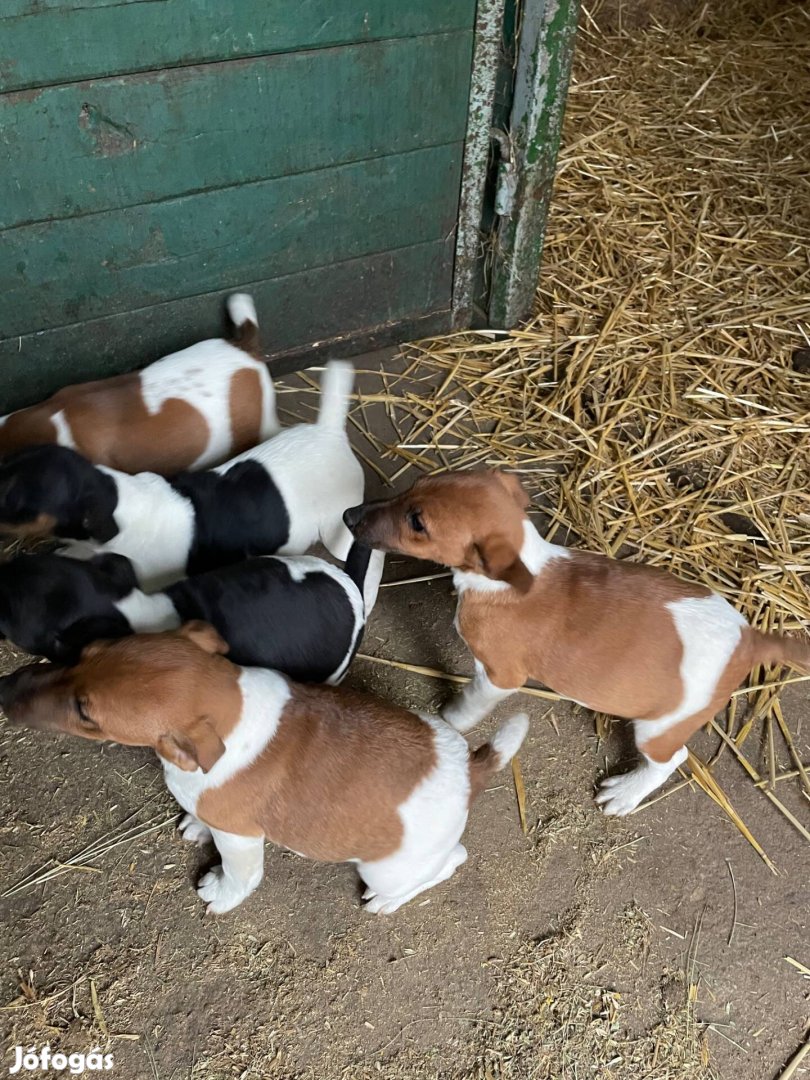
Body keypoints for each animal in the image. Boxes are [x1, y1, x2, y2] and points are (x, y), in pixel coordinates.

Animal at [0, 626, 529, 911]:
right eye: (84, 654)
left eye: (85, 713)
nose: (8, 688)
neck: (232, 706)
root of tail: (470, 769)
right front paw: (195, 824)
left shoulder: (240, 841)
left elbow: (239, 877)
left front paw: (219, 893)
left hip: (389, 870)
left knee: (449, 863)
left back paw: (387, 902)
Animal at [343, 473, 810, 816]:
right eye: (414, 486)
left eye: (417, 523)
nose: (349, 515)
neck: (520, 570)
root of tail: (749, 639)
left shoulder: (500, 675)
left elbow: (469, 705)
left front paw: (451, 718)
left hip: (660, 727)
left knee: (670, 761)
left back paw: (624, 794)